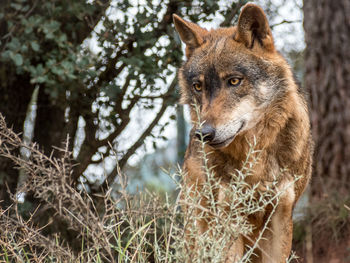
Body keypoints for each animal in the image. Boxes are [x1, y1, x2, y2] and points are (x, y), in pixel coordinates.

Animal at [174, 4, 314, 263]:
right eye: (198, 87)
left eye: (234, 81)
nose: (204, 134)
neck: (255, 157)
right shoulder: (229, 217)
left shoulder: (281, 215)